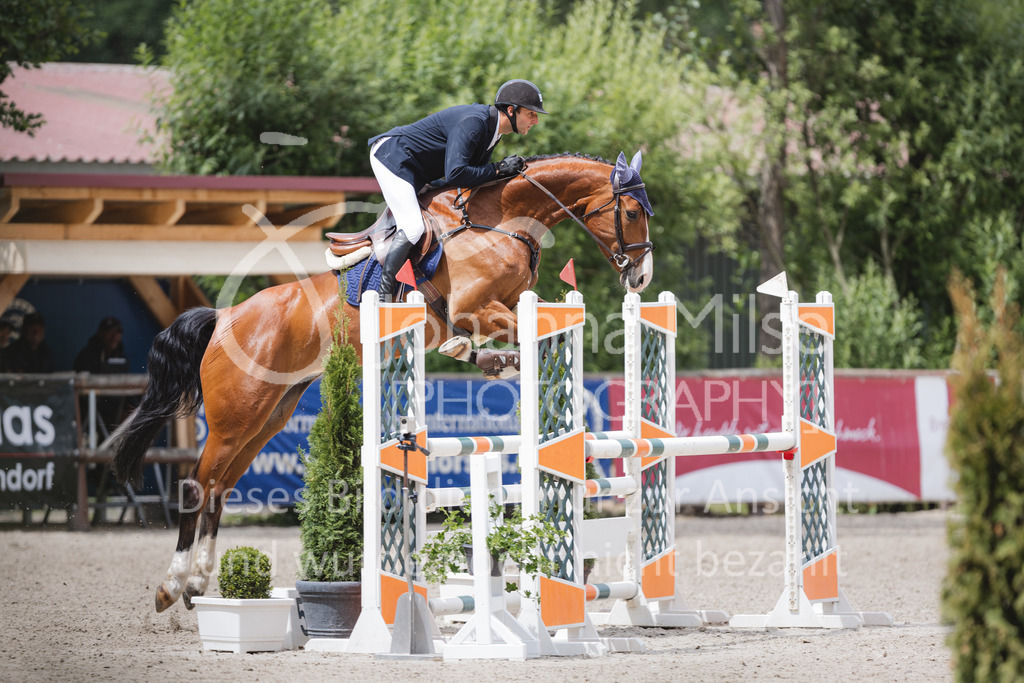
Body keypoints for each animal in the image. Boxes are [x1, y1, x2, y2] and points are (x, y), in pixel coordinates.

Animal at [111, 151, 655, 612]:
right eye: (631, 213)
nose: (642, 278)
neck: (499, 222)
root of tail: (224, 316)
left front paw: (495, 361)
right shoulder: (475, 307)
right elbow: (511, 323)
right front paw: (489, 357)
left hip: (267, 415)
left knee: (219, 487)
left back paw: (198, 584)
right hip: (235, 416)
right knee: (196, 484)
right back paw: (171, 585)